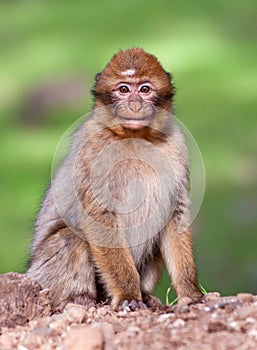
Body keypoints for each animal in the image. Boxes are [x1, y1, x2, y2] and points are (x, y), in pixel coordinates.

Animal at [26, 47, 202, 310]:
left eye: (145, 89)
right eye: (123, 90)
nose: (135, 105)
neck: (135, 137)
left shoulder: (177, 145)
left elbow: (175, 214)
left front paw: (190, 293)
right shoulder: (93, 150)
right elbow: (99, 216)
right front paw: (128, 294)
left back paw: (145, 295)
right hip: (40, 275)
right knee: (71, 237)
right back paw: (77, 298)